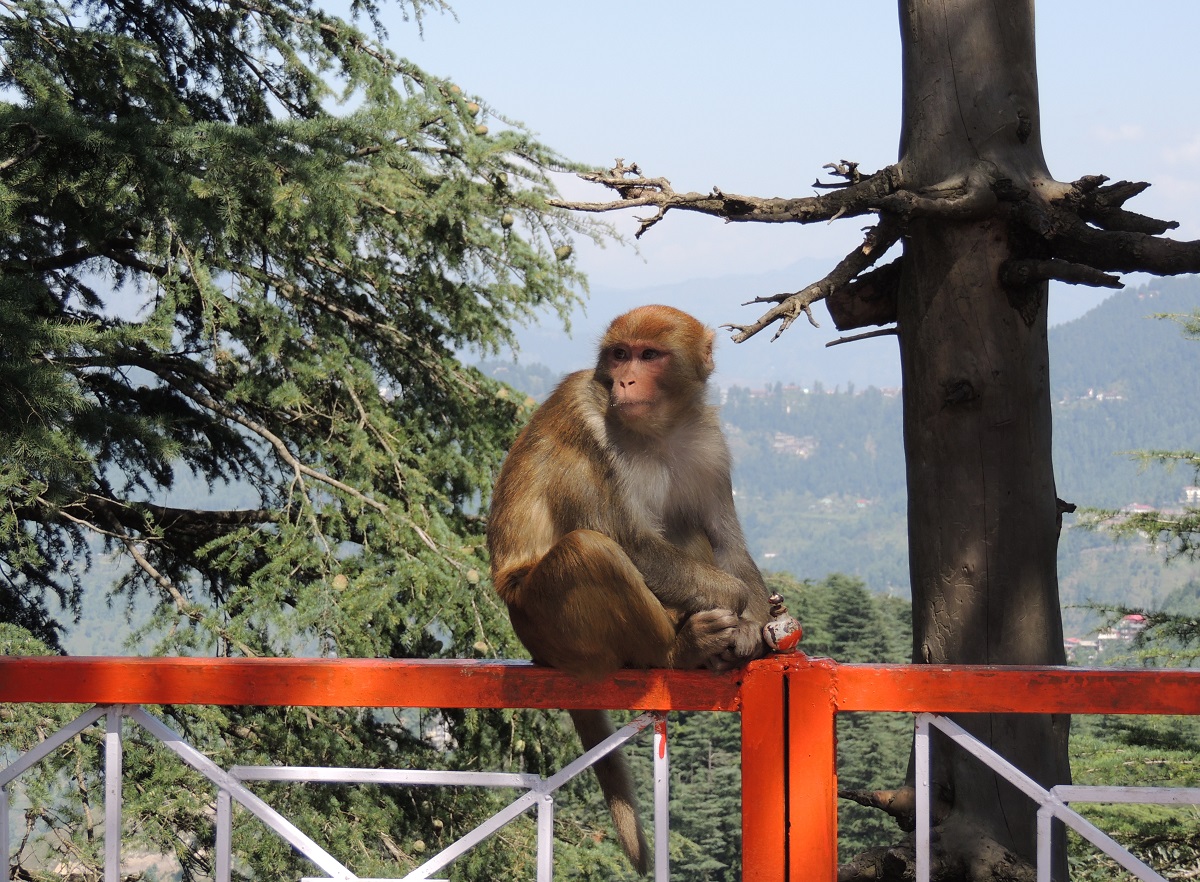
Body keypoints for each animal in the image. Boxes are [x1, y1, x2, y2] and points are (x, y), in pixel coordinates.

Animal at [484, 304, 768, 878]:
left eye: (649, 355)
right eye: (619, 354)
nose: (623, 381)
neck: (655, 431)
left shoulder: (709, 441)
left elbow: (726, 541)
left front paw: (758, 623)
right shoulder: (583, 417)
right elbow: (629, 542)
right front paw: (742, 609)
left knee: (683, 526)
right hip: (543, 622)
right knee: (590, 548)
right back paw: (680, 650)